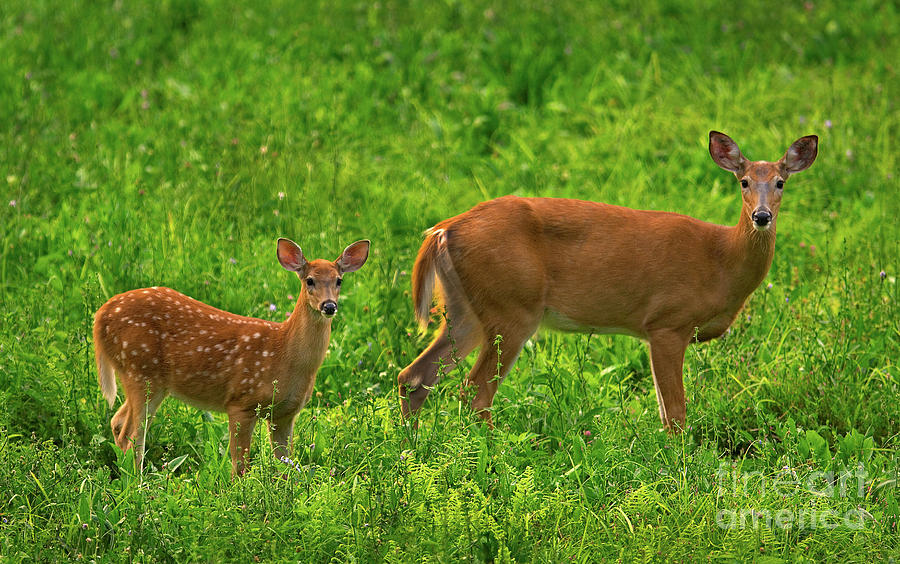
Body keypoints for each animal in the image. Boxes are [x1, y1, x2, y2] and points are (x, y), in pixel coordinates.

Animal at [94, 238, 370, 476]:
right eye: (310, 280)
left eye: (339, 280)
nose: (329, 306)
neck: (285, 354)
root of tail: (100, 315)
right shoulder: (241, 402)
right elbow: (241, 465)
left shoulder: (285, 413)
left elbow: (285, 464)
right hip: (139, 368)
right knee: (131, 435)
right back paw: (139, 486)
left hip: (149, 380)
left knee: (118, 422)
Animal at [400, 132, 816, 430]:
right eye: (743, 181)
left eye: (780, 182)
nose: (761, 216)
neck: (721, 260)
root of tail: (444, 229)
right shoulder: (668, 322)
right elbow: (675, 414)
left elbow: (665, 412)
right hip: (511, 307)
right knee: (474, 392)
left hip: (466, 309)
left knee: (415, 375)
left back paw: (412, 449)